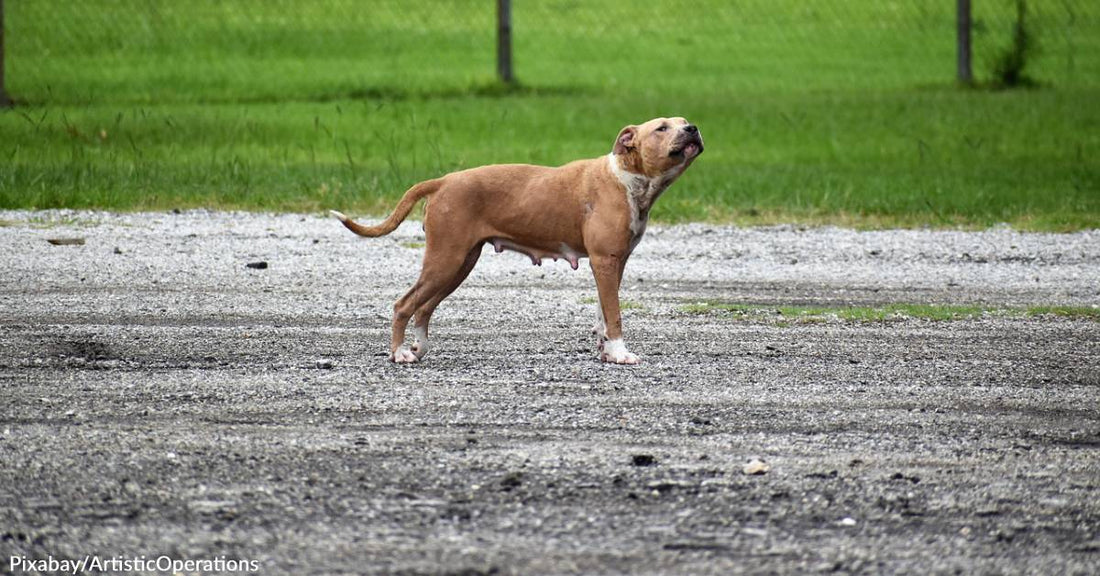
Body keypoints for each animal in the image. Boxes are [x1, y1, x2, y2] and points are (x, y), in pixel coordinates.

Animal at [327, 115, 704, 364]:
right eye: (662, 128)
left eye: (684, 121)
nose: (693, 128)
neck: (627, 177)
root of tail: (443, 180)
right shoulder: (605, 261)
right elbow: (615, 314)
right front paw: (622, 354)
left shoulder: (613, 264)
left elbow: (602, 312)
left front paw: (607, 351)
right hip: (444, 260)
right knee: (404, 305)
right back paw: (400, 353)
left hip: (458, 263)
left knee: (424, 308)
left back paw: (418, 348)